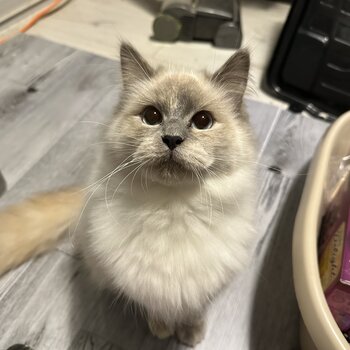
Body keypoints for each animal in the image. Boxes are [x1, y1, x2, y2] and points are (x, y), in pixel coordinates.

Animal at [0, 42, 258, 346]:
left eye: (203, 121)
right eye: (152, 117)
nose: (172, 139)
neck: (171, 209)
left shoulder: (206, 282)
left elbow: (194, 310)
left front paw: (191, 334)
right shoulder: (142, 283)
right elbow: (155, 308)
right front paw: (161, 329)